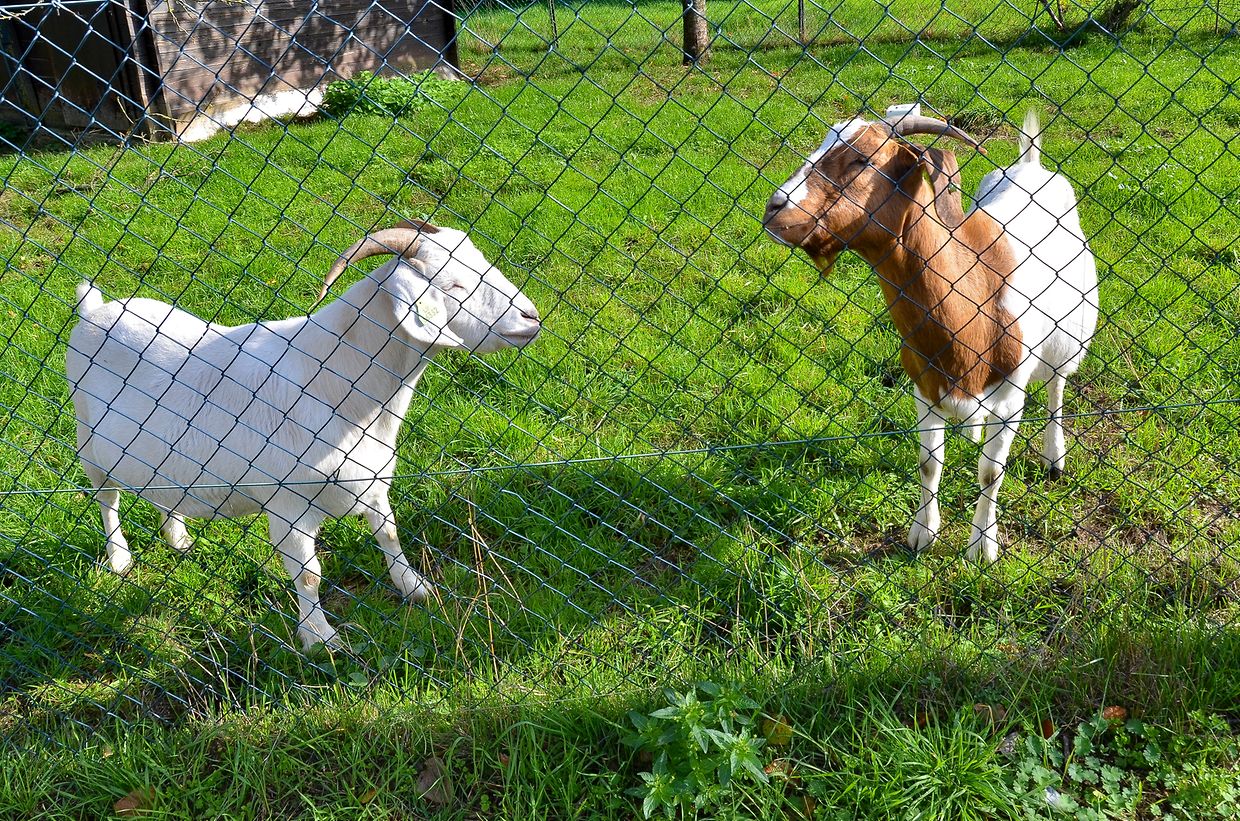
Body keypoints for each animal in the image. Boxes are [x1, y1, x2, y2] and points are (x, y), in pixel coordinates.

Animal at [66, 221, 541, 649]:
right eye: (455, 285)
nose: (531, 317)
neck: (337, 382)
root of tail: (95, 310)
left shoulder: (373, 480)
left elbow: (389, 534)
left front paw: (416, 589)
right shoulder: (287, 505)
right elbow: (310, 575)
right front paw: (319, 639)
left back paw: (178, 537)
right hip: (88, 441)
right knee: (107, 500)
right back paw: (119, 558)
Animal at [764, 108, 1098, 563]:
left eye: (863, 160)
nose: (774, 209)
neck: (976, 300)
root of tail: (1030, 165)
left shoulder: (1010, 400)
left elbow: (990, 471)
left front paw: (982, 547)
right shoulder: (924, 388)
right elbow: (929, 462)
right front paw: (923, 533)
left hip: (1072, 334)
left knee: (1057, 389)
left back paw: (1054, 457)